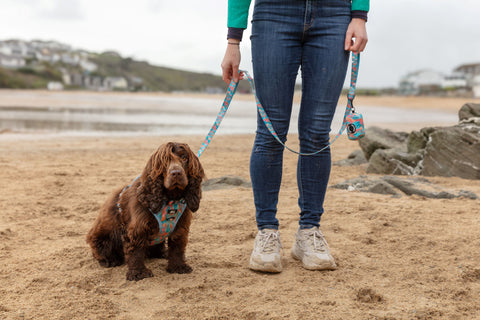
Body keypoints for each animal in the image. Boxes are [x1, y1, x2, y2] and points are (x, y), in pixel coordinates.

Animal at [86, 142, 204, 280]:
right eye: (165, 161)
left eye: (184, 158)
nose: (176, 173)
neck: (169, 199)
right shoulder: (137, 229)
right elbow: (135, 252)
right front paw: (139, 273)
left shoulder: (180, 226)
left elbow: (177, 248)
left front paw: (178, 267)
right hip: (103, 239)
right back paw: (110, 260)